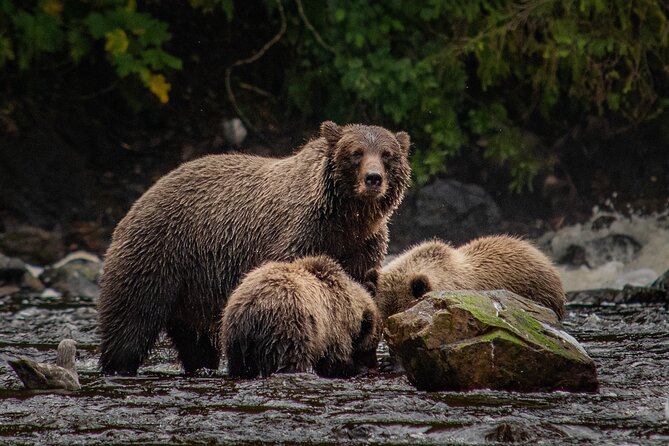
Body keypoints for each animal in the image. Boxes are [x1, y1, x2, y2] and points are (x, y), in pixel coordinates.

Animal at [220, 255, 383, 378]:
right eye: (372, 346)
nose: (374, 364)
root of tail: (252, 308)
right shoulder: (334, 327)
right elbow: (334, 362)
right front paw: (357, 369)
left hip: (236, 338)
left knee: (241, 367)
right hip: (288, 329)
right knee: (291, 360)